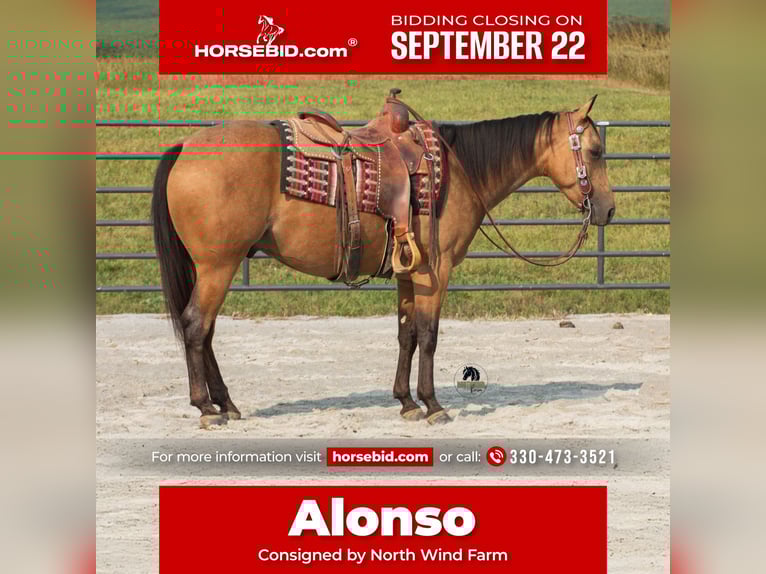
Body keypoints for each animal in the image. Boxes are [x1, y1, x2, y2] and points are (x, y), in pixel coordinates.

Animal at [151, 95, 616, 428]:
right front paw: (432, 405)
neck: (458, 172)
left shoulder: (409, 272)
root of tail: (186, 145)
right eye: (595, 151)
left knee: (206, 332)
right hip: (218, 266)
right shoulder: (435, 271)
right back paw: (206, 409)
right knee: (196, 325)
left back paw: (225, 403)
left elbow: (406, 334)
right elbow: (428, 334)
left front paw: (406, 402)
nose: (608, 210)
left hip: (213, 268)